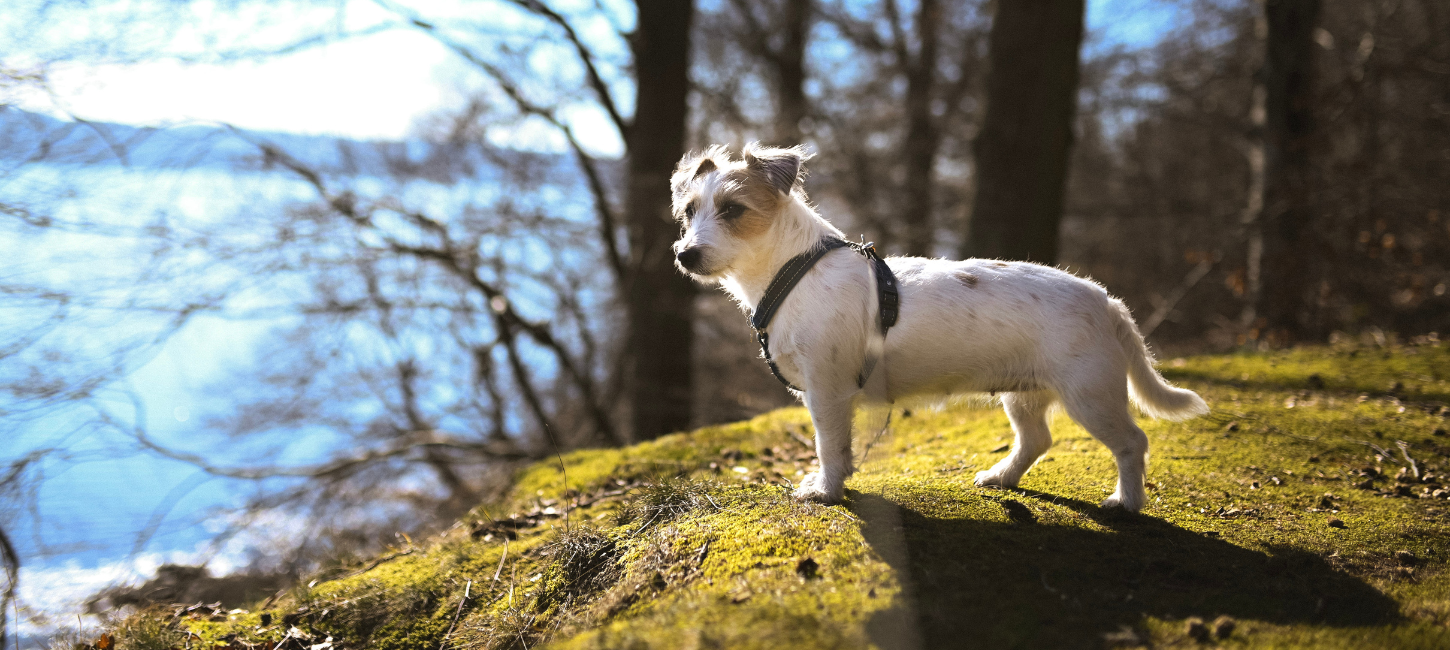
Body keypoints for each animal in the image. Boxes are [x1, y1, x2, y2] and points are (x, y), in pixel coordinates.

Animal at [669, 143, 1212, 513]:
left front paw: (826, 489)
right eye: (689, 211)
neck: (792, 269)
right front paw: (834, 481)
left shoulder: (828, 390)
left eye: (733, 210)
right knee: (1036, 440)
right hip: (1025, 393)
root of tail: (1108, 302)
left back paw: (1127, 502)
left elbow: (829, 443)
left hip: (1090, 395)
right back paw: (1002, 476)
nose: (684, 255)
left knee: (1132, 442)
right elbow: (839, 448)